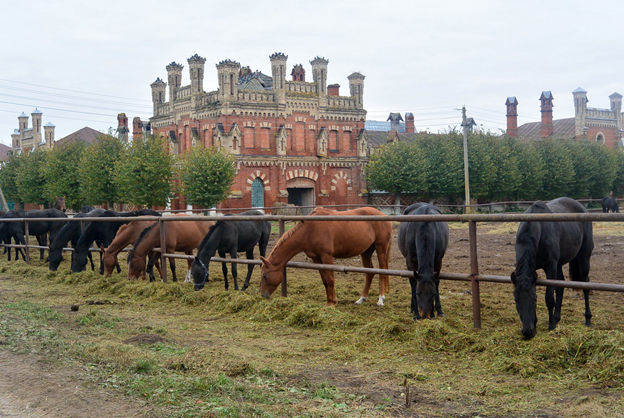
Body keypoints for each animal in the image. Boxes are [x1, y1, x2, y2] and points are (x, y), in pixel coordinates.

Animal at [258, 207, 390, 306]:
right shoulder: (316, 259)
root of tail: (384, 216)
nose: (263, 295)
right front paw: (328, 302)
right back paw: (362, 299)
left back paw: (381, 299)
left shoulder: (327, 257)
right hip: (366, 251)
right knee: (369, 272)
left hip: (381, 248)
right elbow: (325, 280)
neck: (310, 230)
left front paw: (333, 302)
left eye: (264, 275)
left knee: (382, 271)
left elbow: (331, 279)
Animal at [510, 197, 592, 340]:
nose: (527, 332)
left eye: (534, 299)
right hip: (559, 265)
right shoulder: (535, 270)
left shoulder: (550, 267)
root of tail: (582, 207)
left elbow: (549, 298)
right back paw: (557, 317)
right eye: (516, 299)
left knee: (585, 285)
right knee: (560, 286)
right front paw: (538, 324)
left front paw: (551, 326)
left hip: (584, 257)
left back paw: (587, 320)